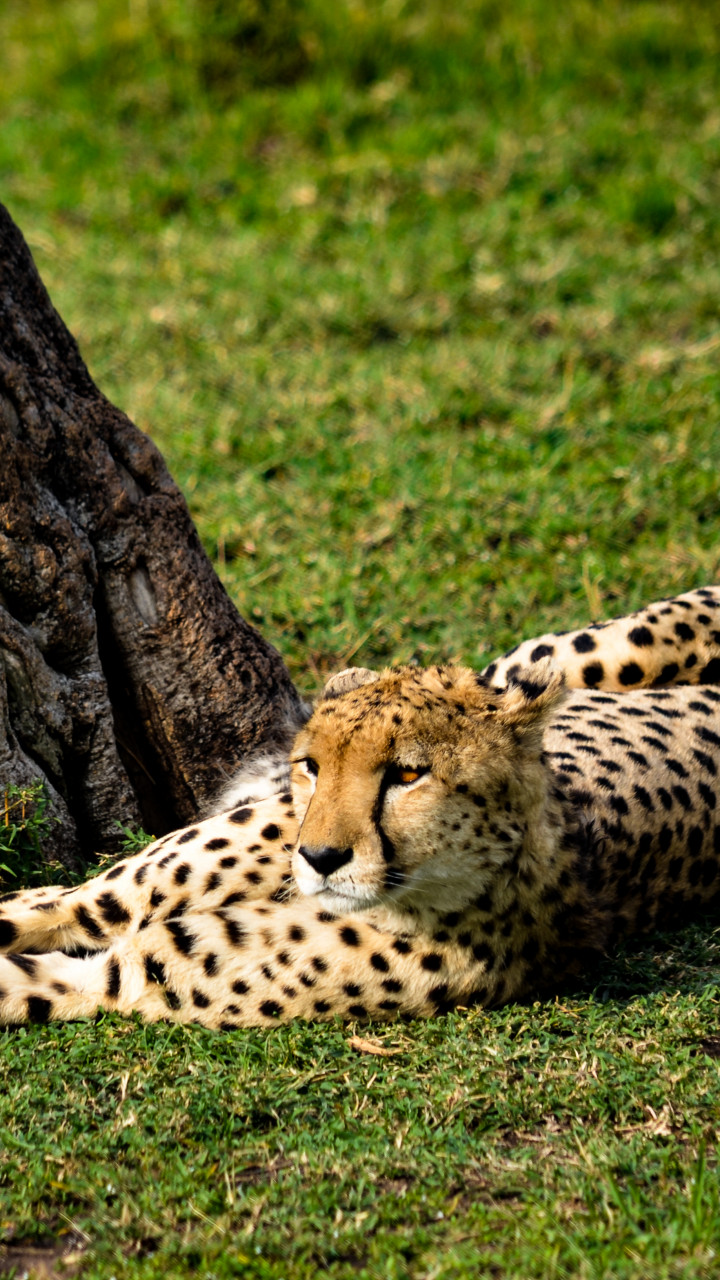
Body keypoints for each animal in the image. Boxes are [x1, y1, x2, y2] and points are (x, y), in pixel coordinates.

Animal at [0, 583, 719, 1029]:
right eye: (313, 766)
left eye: (408, 774)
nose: (319, 857)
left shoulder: (141, 971)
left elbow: (55, 979)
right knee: (77, 899)